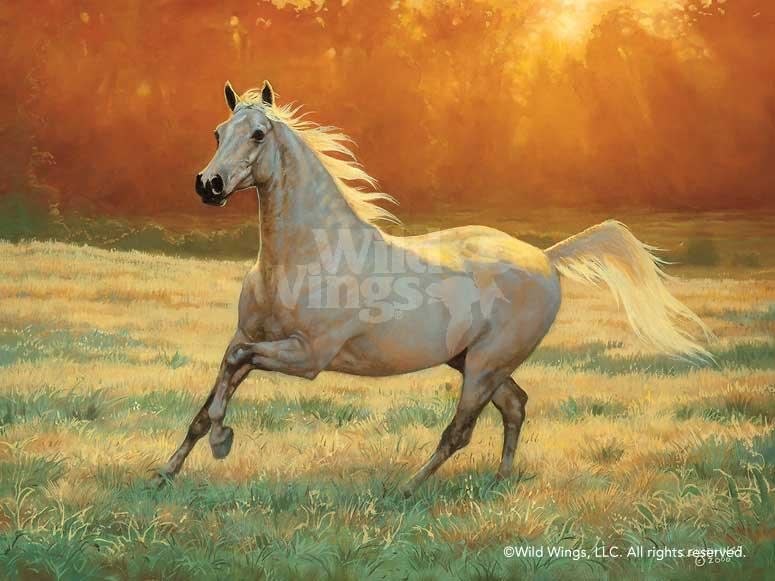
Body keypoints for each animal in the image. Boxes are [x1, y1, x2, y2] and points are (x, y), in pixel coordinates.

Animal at [155, 81, 711, 494]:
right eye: (218, 131)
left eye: (258, 134)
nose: (209, 185)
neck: (306, 256)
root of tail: (546, 258)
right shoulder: (250, 336)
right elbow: (214, 389)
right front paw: (166, 473)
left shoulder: (307, 356)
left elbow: (232, 370)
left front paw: (223, 440)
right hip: (473, 362)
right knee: (515, 405)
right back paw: (499, 482)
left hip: (485, 364)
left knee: (460, 431)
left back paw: (406, 489)